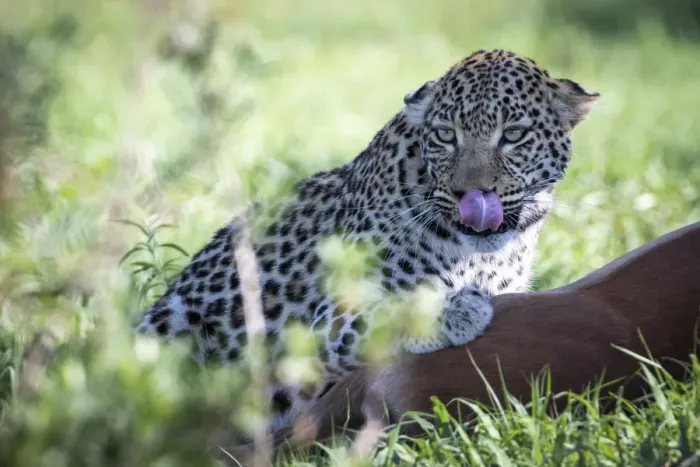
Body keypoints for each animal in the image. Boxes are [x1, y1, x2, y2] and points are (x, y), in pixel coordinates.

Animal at [134, 49, 599, 433]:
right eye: (446, 135)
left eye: (514, 135)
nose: (472, 193)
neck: (480, 255)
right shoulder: (327, 318)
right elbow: (387, 312)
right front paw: (453, 310)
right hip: (172, 319)